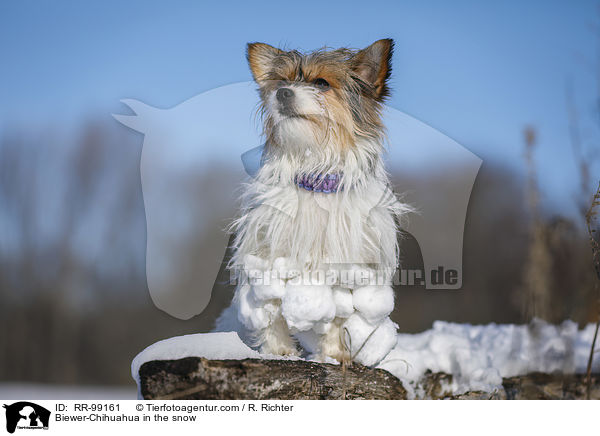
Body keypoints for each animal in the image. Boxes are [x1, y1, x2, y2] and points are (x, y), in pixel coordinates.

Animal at [214, 39, 408, 364]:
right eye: (282, 81)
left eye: (321, 83)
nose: (282, 92)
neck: (314, 173)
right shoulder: (270, 255)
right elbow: (273, 311)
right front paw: (279, 352)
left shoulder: (345, 266)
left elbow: (338, 317)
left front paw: (333, 355)